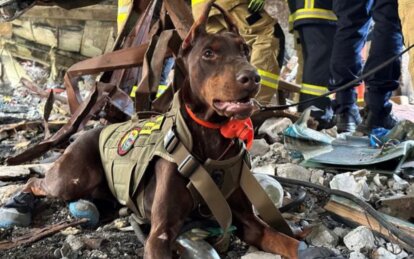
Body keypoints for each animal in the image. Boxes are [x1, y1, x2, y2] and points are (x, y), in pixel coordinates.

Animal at [0, 2, 340, 259]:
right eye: (209, 53)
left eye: (245, 50)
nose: (253, 77)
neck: (211, 140)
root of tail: (86, 132)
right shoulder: (160, 234)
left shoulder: (247, 220)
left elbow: (284, 239)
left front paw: (310, 249)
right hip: (71, 178)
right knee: (36, 181)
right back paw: (20, 199)